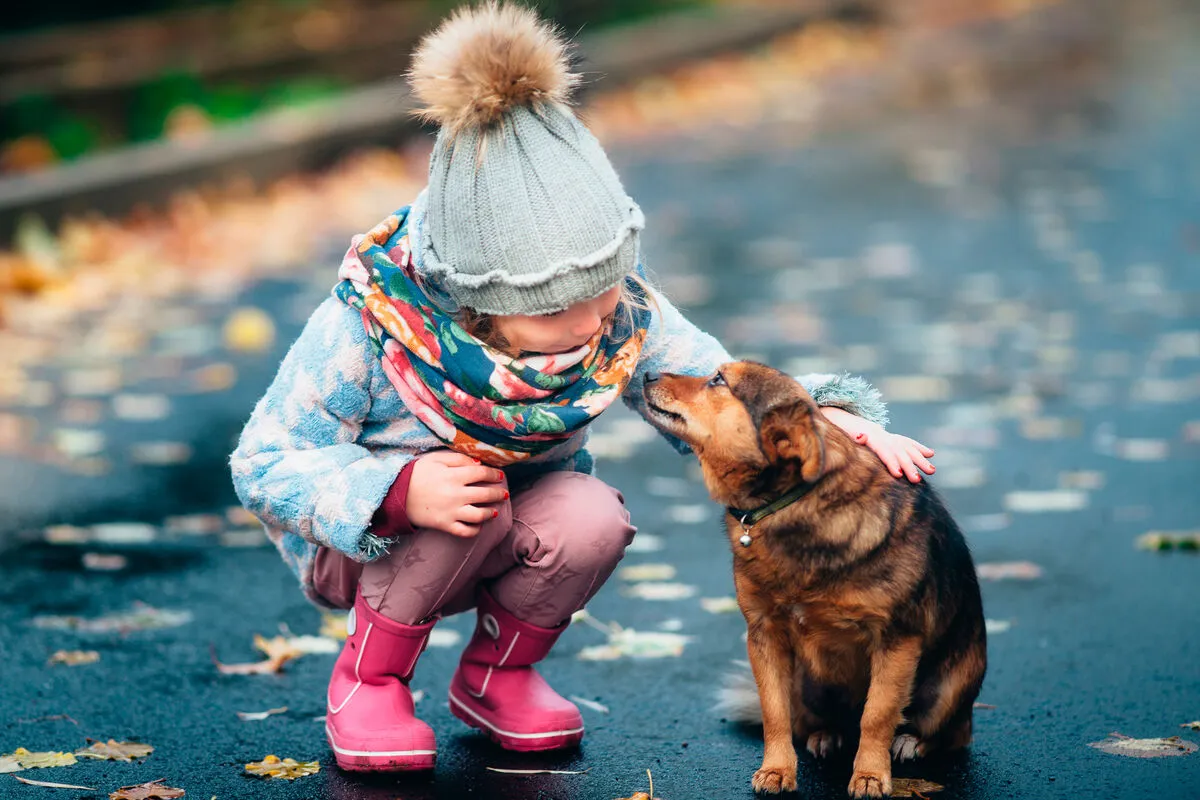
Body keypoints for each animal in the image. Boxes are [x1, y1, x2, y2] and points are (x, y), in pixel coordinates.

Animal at [643, 364, 988, 800]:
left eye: (719, 380)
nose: (647, 373)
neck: (792, 501)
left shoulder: (897, 640)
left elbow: (877, 715)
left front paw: (871, 775)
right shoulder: (764, 635)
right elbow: (774, 712)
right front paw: (777, 770)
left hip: (950, 687)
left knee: (951, 732)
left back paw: (912, 741)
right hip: (806, 684)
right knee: (814, 720)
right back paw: (826, 735)